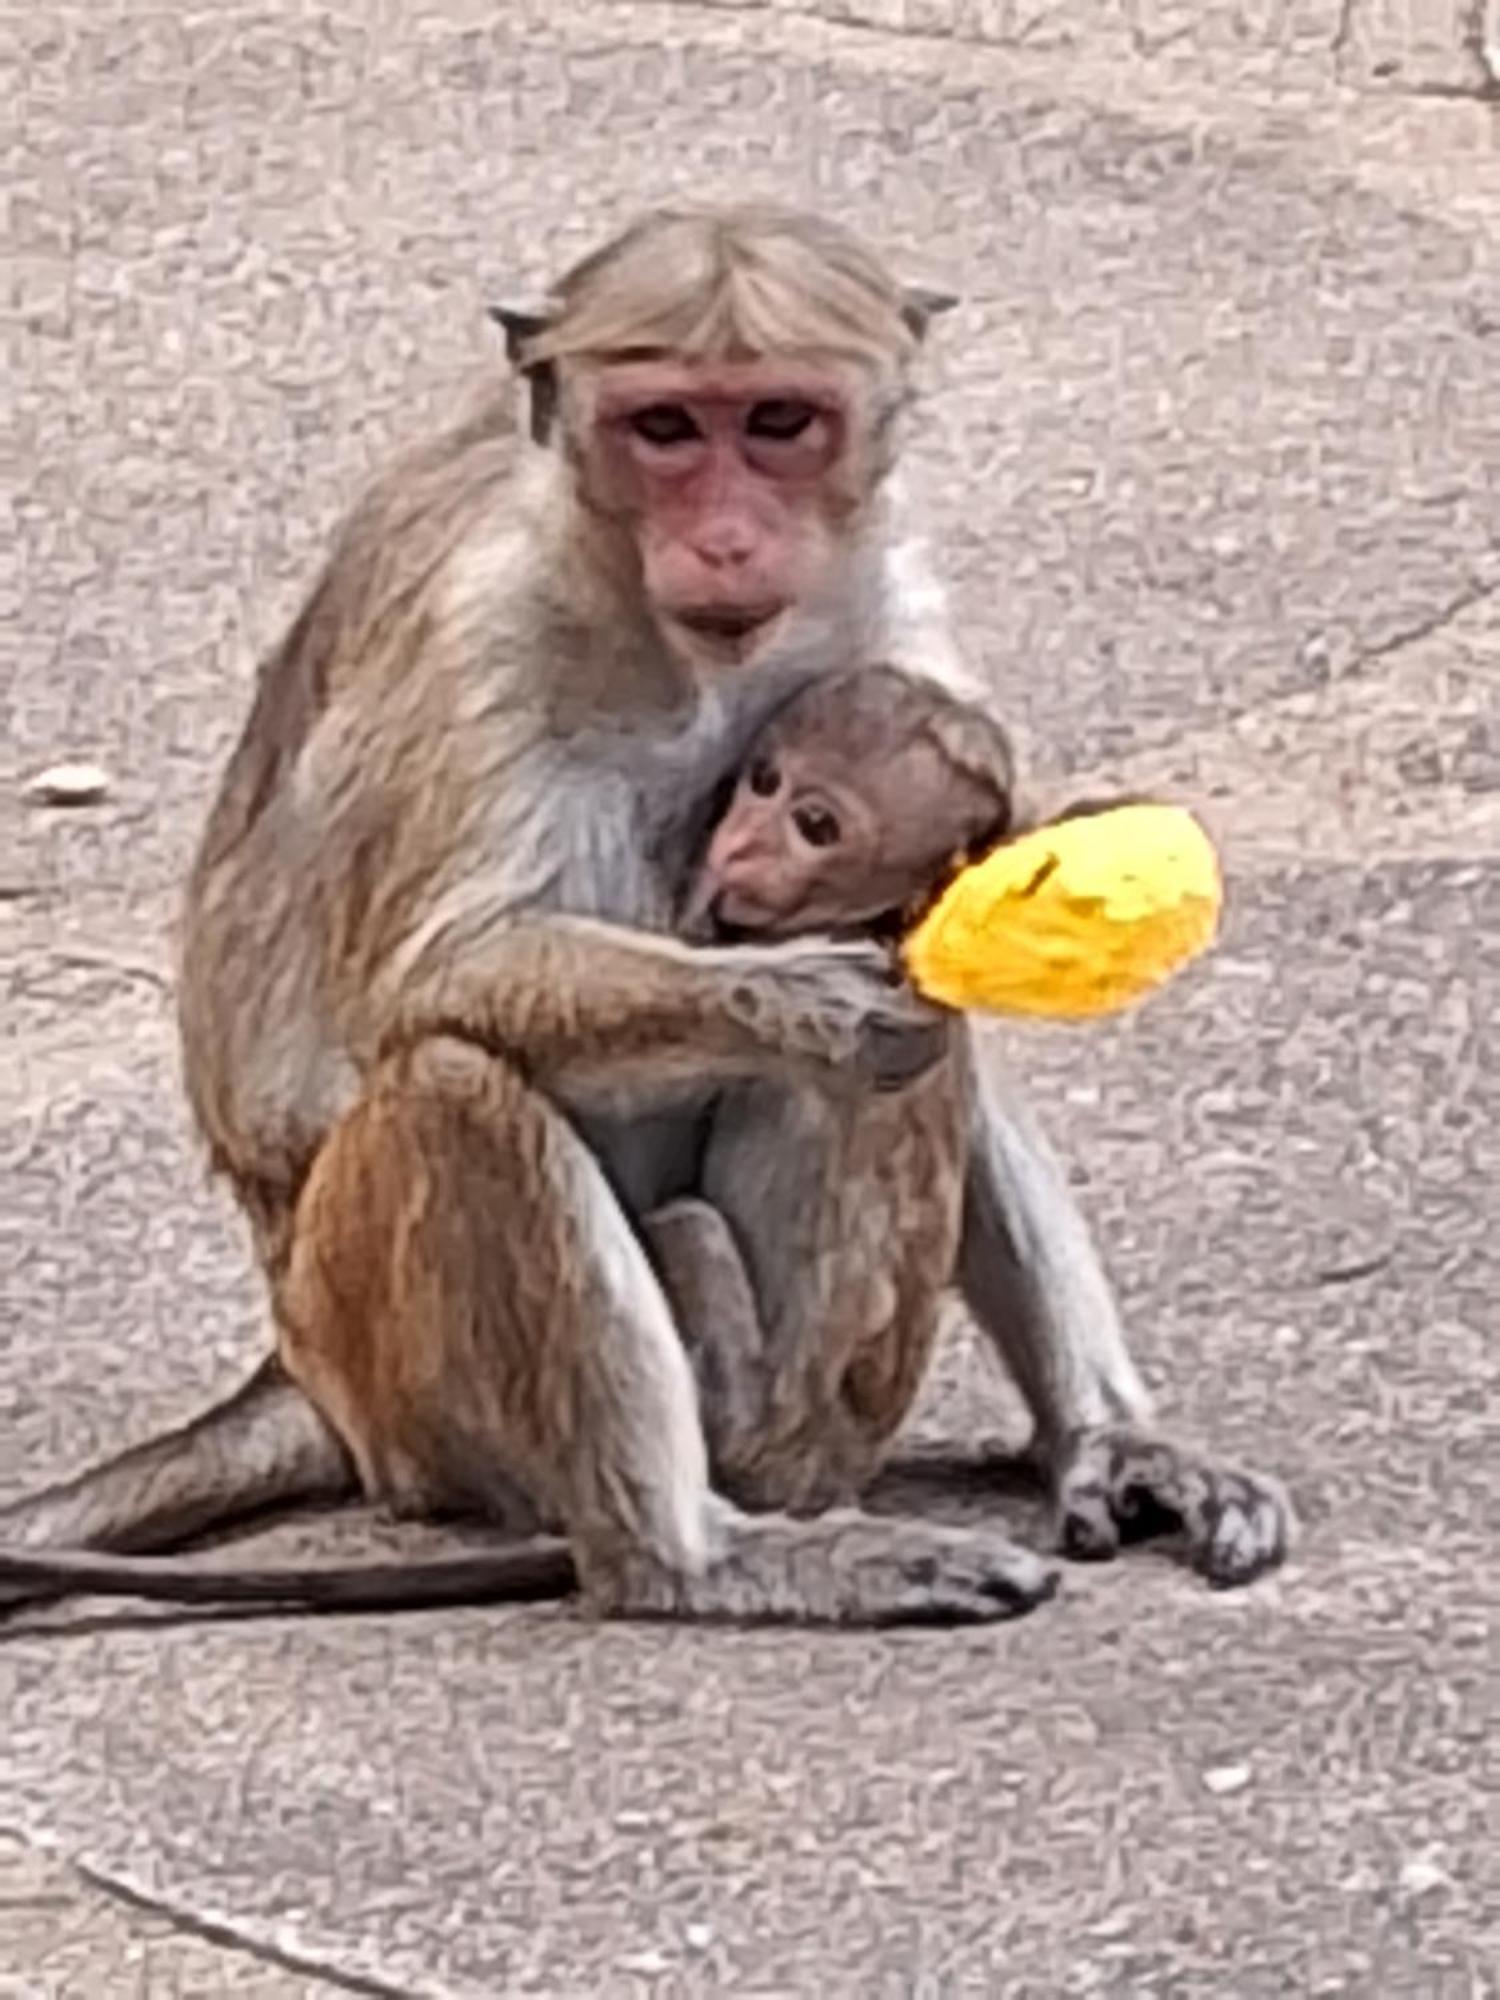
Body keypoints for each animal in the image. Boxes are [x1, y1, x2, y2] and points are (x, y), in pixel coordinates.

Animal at [0, 207, 1296, 1624]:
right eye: (665, 427)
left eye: (780, 420)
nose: (726, 536)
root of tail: (298, 1371)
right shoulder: (483, 621)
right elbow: (434, 982)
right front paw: (795, 995)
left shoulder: (879, 590)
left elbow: (939, 955)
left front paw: (1115, 1435)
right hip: (383, 1363)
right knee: (455, 1088)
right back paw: (691, 1555)